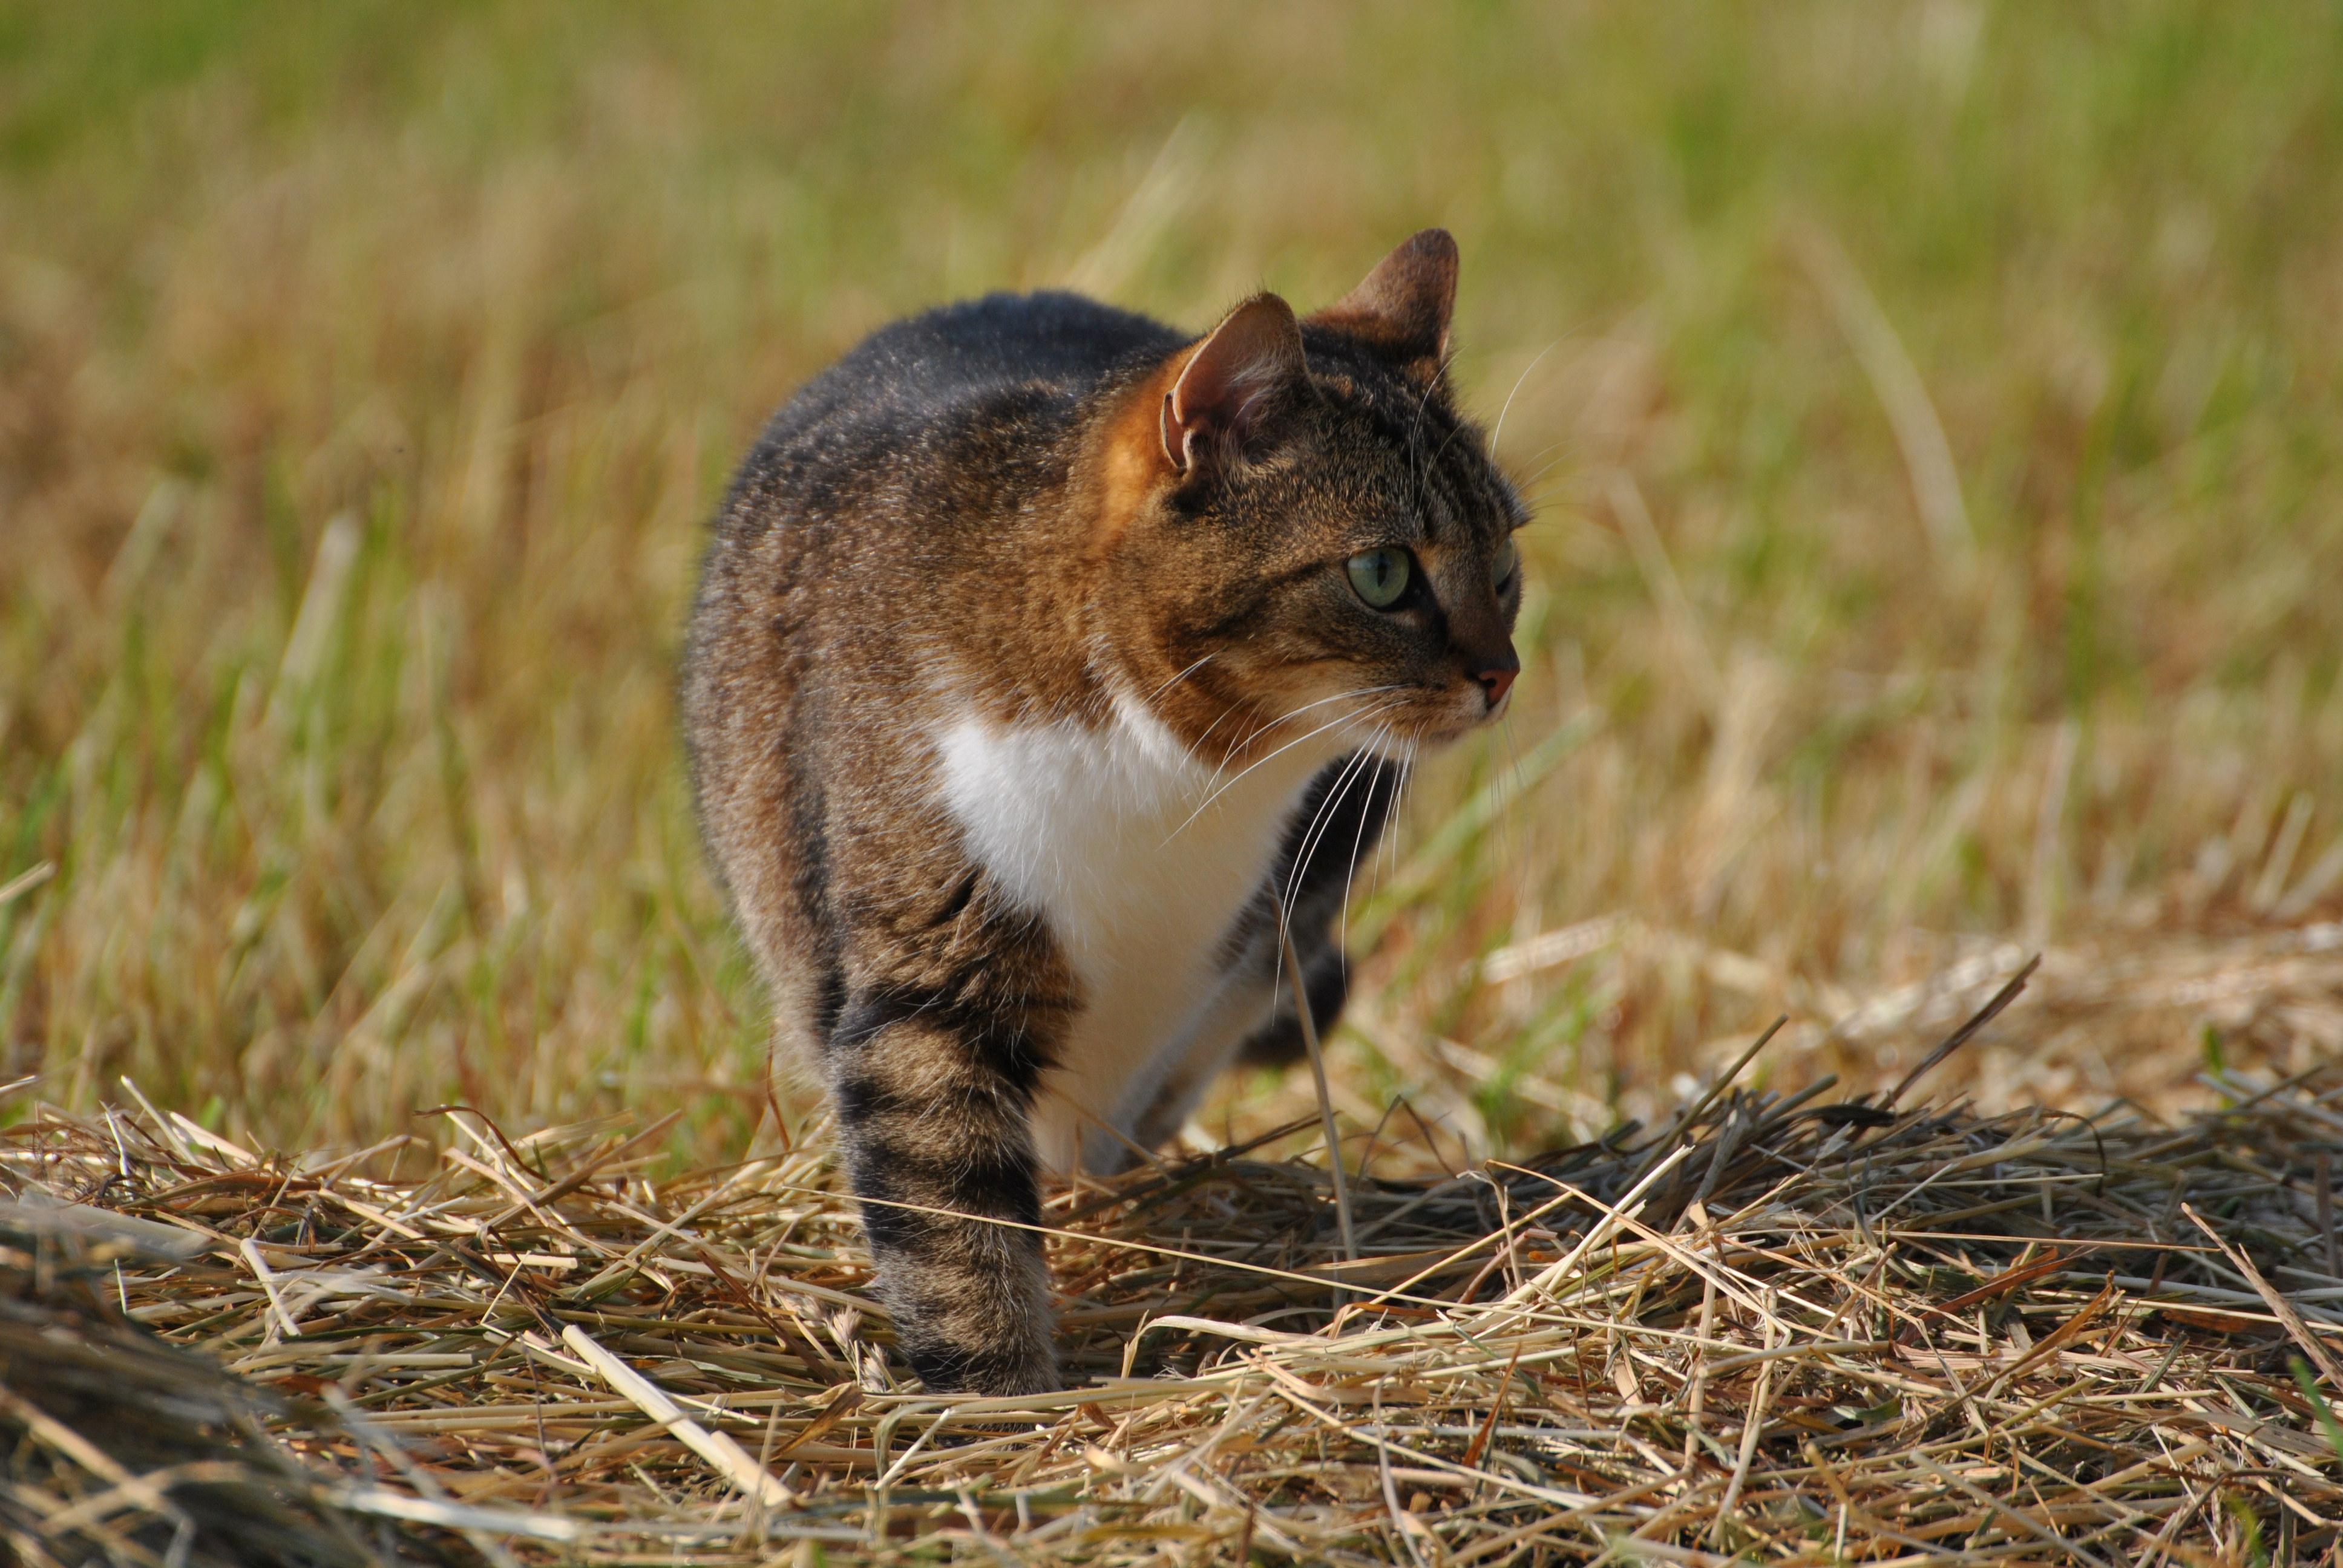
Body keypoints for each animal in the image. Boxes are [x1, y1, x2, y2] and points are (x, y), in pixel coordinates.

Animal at [684, 230, 1524, 1395]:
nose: (1503, 673)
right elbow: (952, 1216)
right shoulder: (931, 972)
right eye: (1382, 571)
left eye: (1506, 565)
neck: (1179, 764)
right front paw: (993, 1391)